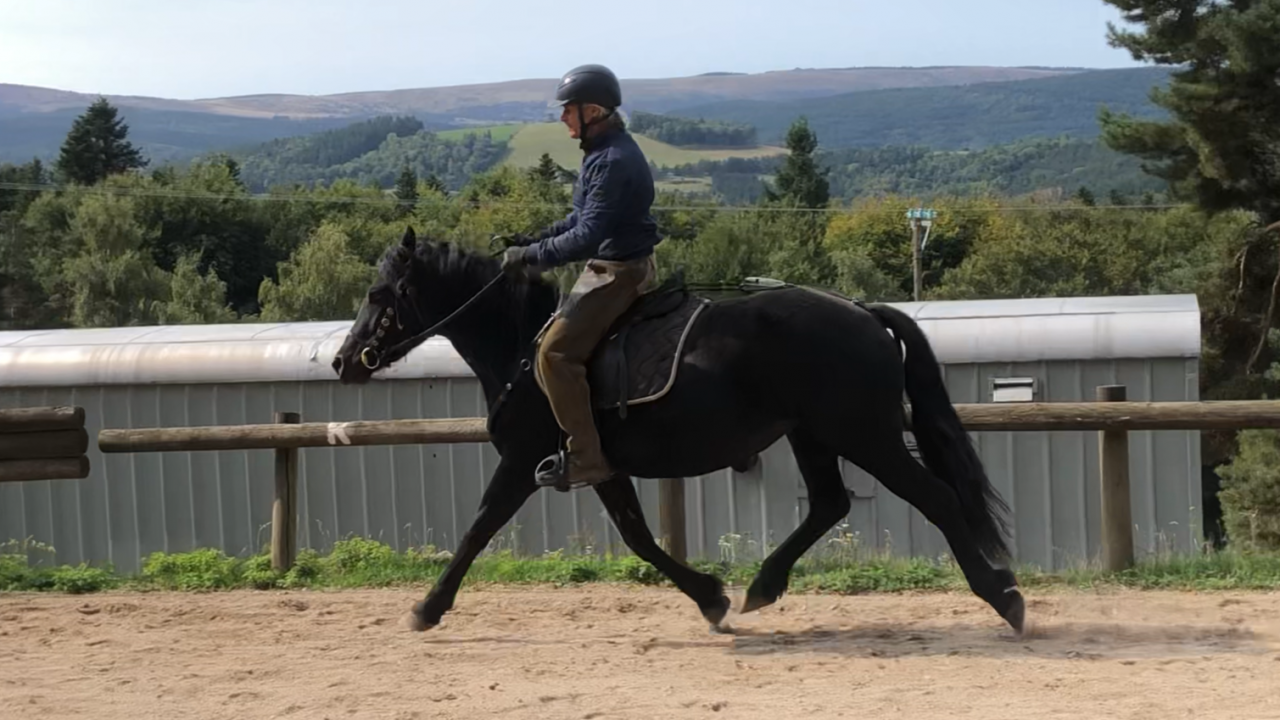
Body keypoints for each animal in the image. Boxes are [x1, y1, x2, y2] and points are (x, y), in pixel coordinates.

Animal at [331, 226, 1026, 635]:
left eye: (379, 293)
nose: (342, 362)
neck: (521, 349)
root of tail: (861, 310)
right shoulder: (595, 463)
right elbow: (639, 537)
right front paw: (712, 598)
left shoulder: (524, 461)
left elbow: (478, 527)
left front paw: (426, 608)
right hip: (812, 435)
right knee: (829, 503)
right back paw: (762, 587)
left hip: (865, 436)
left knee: (935, 498)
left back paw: (1005, 599)